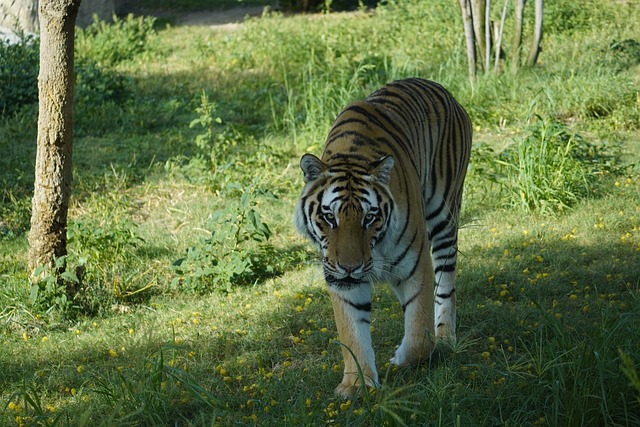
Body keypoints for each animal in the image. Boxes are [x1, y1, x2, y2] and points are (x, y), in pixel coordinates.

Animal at [294, 77, 470, 398]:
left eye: (369, 218)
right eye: (329, 217)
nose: (350, 267)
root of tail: (444, 90)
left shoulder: (416, 264)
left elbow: (419, 332)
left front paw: (401, 359)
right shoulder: (341, 280)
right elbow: (352, 332)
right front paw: (356, 384)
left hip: (444, 215)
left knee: (446, 284)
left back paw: (445, 338)